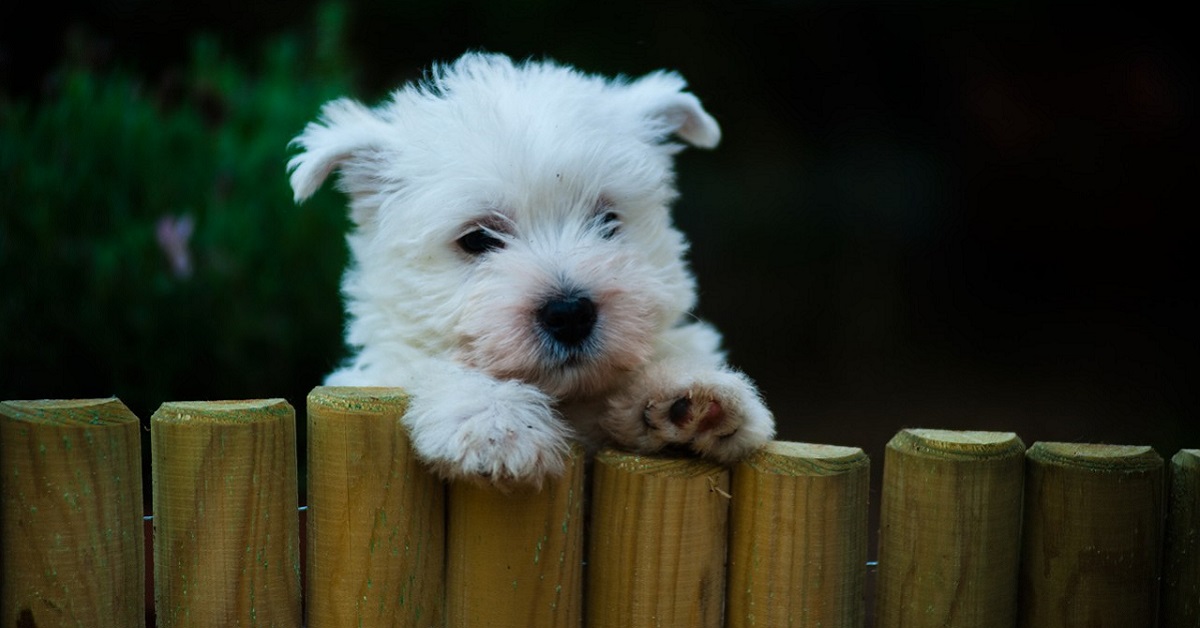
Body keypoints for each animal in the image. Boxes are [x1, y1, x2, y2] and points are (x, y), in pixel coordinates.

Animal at [290, 52, 777, 487]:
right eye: (477, 239)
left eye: (608, 221)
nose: (570, 314)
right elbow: (423, 365)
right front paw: (495, 422)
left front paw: (688, 394)